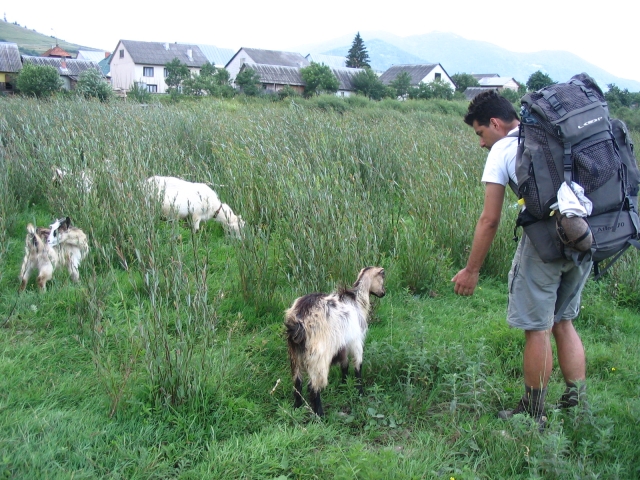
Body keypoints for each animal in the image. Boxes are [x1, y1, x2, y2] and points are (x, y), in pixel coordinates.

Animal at [284, 266, 384, 416]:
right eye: (382, 278)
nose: (383, 293)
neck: (357, 300)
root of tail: (298, 321)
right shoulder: (356, 341)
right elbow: (358, 366)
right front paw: (360, 392)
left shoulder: (342, 345)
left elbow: (344, 365)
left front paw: (344, 386)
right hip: (319, 357)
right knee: (313, 387)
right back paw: (320, 415)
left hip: (294, 354)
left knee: (297, 383)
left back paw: (297, 408)